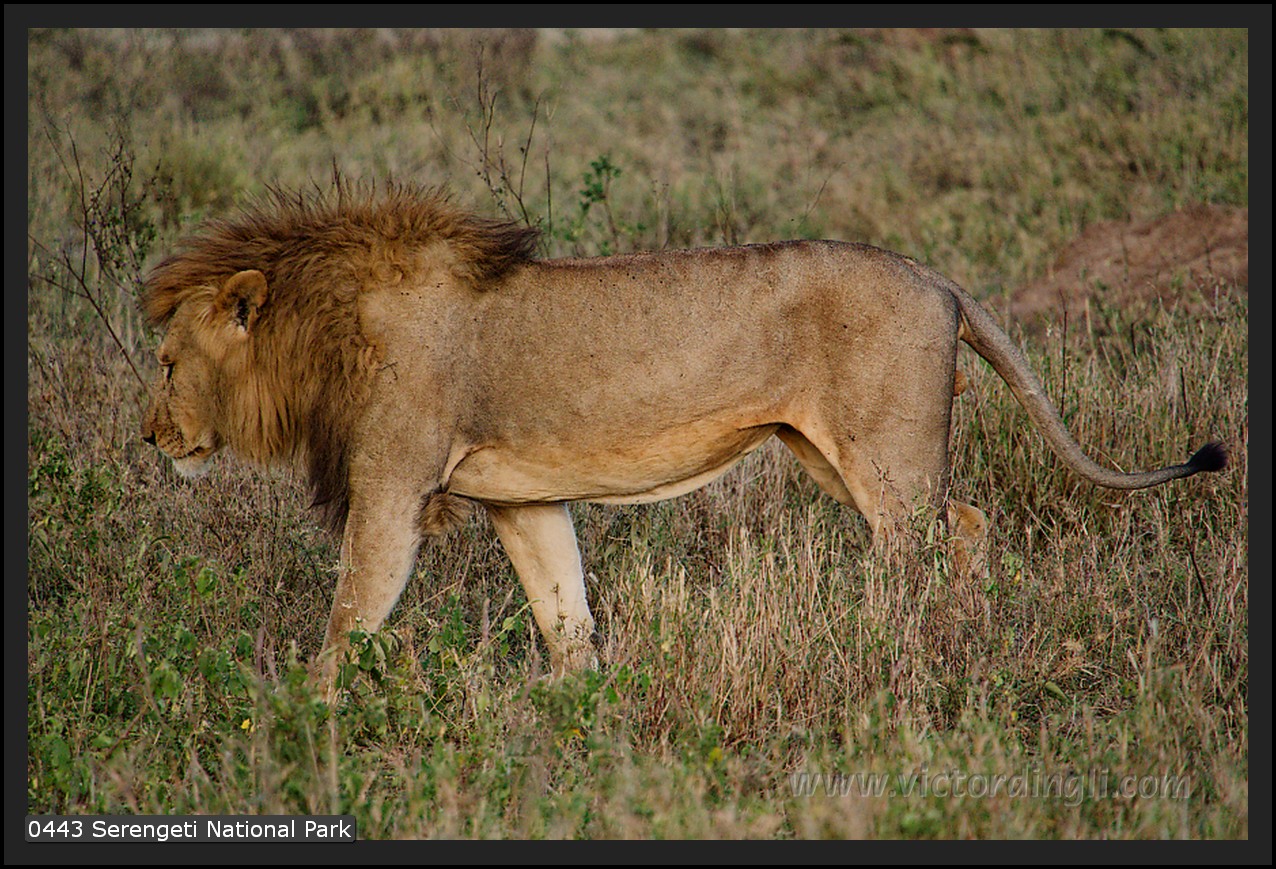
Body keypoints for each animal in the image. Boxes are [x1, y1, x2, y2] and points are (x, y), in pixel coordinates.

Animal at [139, 181, 1226, 685]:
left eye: (164, 363)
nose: (150, 440)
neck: (322, 331)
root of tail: (938, 274)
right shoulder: (522, 499)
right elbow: (563, 609)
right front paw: (578, 709)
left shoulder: (394, 488)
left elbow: (349, 615)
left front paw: (303, 711)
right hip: (827, 452)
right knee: (966, 519)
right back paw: (955, 637)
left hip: (882, 455)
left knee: (928, 535)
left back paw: (903, 642)